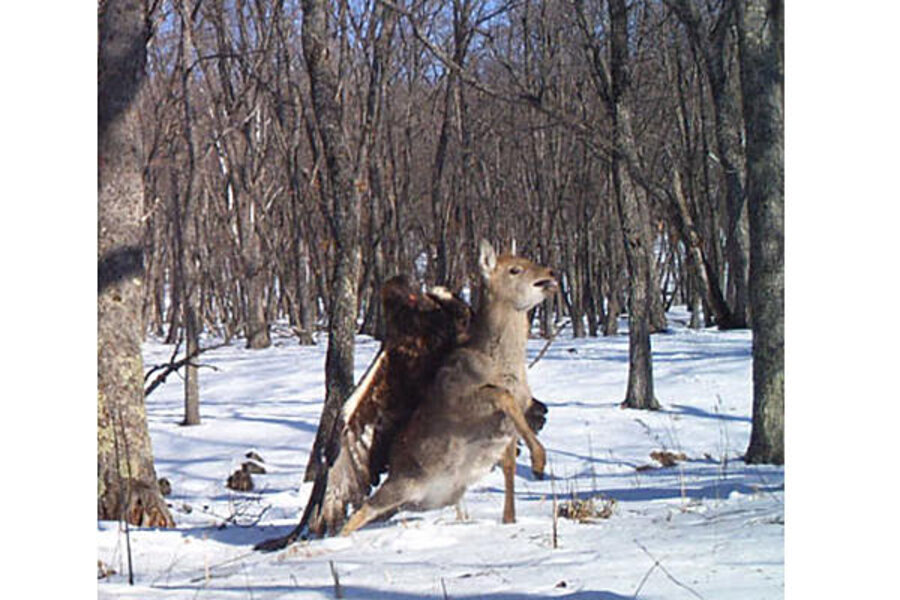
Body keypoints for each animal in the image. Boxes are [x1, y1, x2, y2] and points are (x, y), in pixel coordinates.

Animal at [338, 240, 556, 536]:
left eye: (527, 259)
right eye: (514, 269)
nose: (550, 273)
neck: (503, 365)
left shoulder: (513, 420)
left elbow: (510, 464)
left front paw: (510, 517)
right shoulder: (460, 400)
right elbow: (500, 395)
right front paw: (539, 462)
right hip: (400, 485)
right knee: (361, 511)